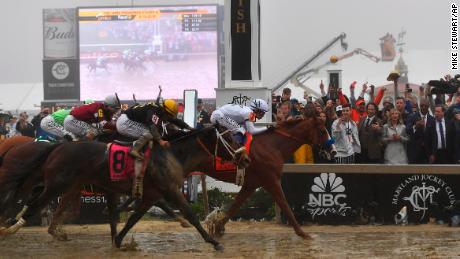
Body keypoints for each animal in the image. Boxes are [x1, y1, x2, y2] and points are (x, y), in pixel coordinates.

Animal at [0, 126, 250, 252]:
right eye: (229, 137)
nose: (246, 159)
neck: (172, 155)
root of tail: (58, 146)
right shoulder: (170, 190)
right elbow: (189, 213)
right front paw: (214, 241)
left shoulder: (151, 195)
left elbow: (132, 218)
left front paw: (119, 240)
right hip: (56, 184)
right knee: (32, 205)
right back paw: (10, 228)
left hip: (53, 183)